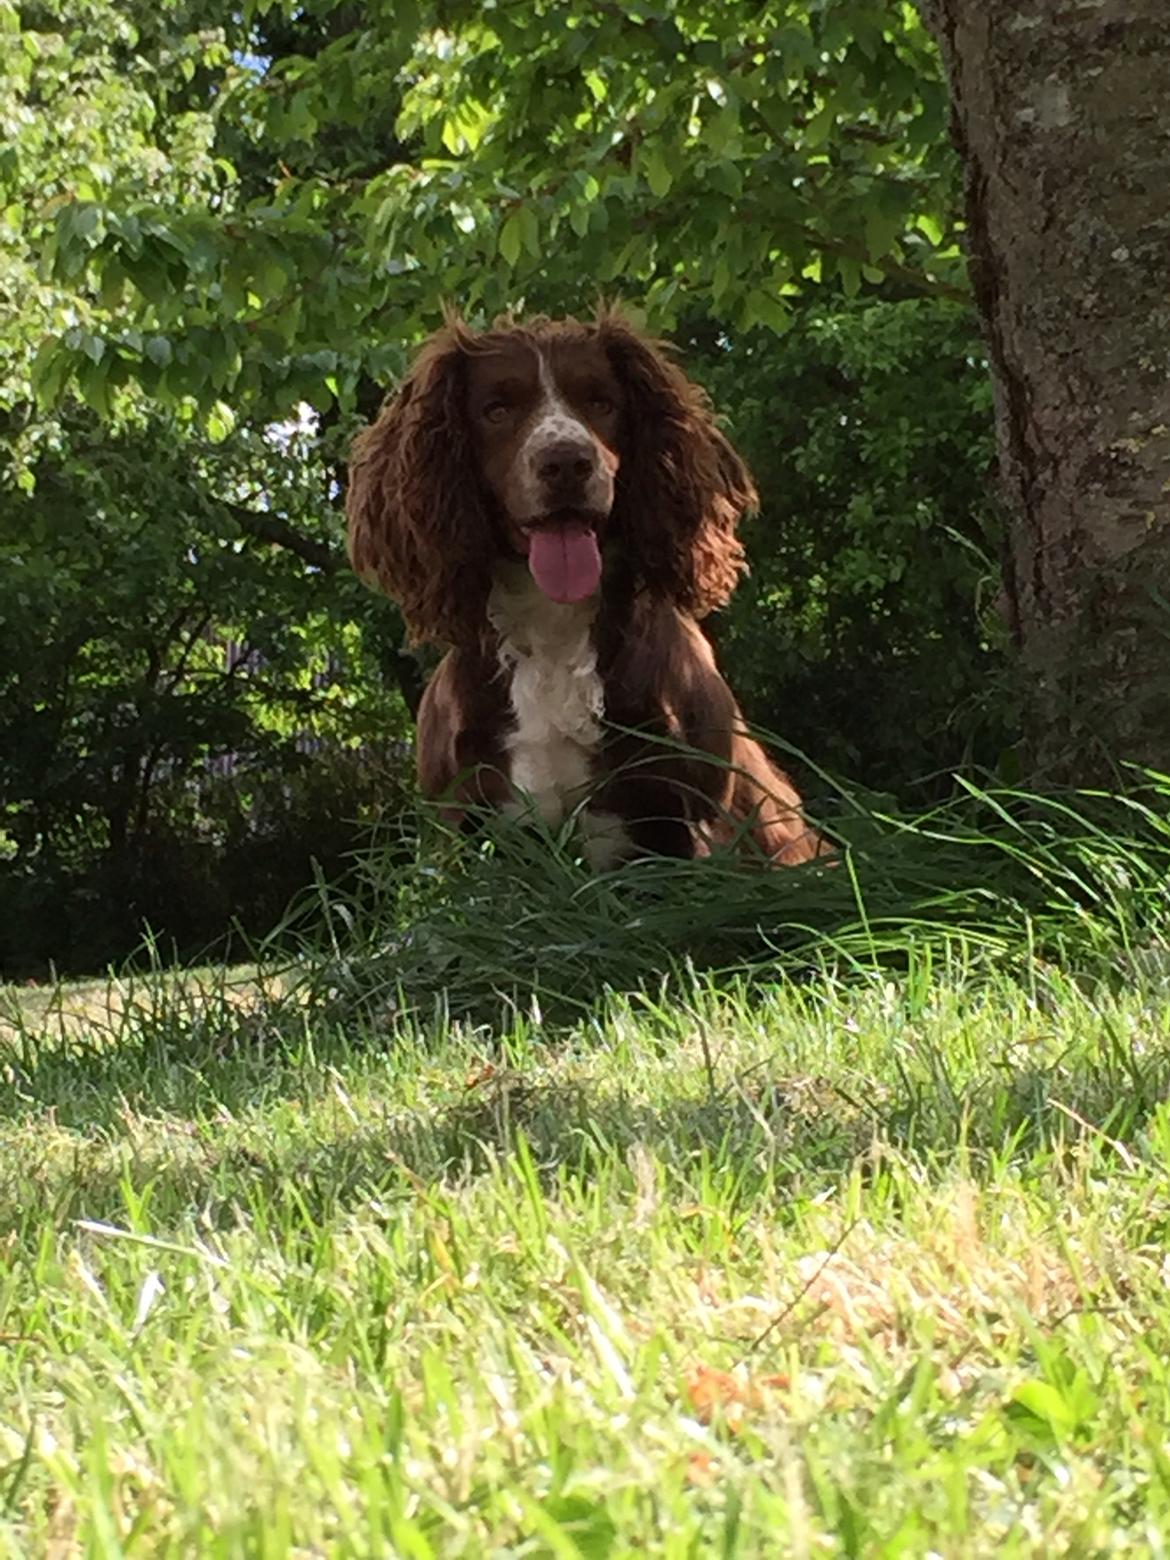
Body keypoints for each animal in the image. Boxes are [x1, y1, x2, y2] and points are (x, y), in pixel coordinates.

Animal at [347, 304, 823, 867]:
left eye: (601, 402)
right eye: (496, 409)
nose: (566, 461)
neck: (553, 625)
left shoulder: (691, 817)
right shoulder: (465, 822)